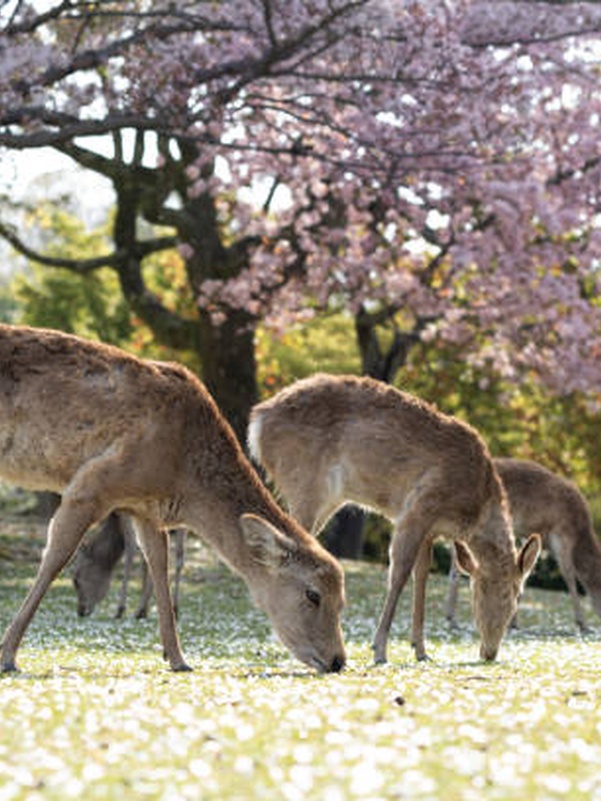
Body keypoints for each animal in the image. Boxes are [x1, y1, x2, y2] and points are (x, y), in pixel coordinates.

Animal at [0, 325, 346, 674]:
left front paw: (178, 658)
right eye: (313, 594)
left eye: (342, 600)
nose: (338, 660)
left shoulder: (146, 509)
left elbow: (158, 565)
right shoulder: (90, 484)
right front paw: (8, 655)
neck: (183, 480)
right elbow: (55, 559)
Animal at [248, 373, 541, 664]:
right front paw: (379, 651)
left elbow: (422, 575)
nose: (490, 652)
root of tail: (257, 422)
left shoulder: (431, 530)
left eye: (518, 595)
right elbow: (399, 573)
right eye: (480, 590)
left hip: (324, 498)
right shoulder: (417, 510)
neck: (472, 509)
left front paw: (421, 650)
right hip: (305, 485)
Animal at [445, 457, 601, 631]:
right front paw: (583, 624)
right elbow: (568, 575)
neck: (580, 532)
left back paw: (452, 618)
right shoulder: (561, 534)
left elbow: (525, 572)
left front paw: (513, 623)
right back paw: (452, 620)